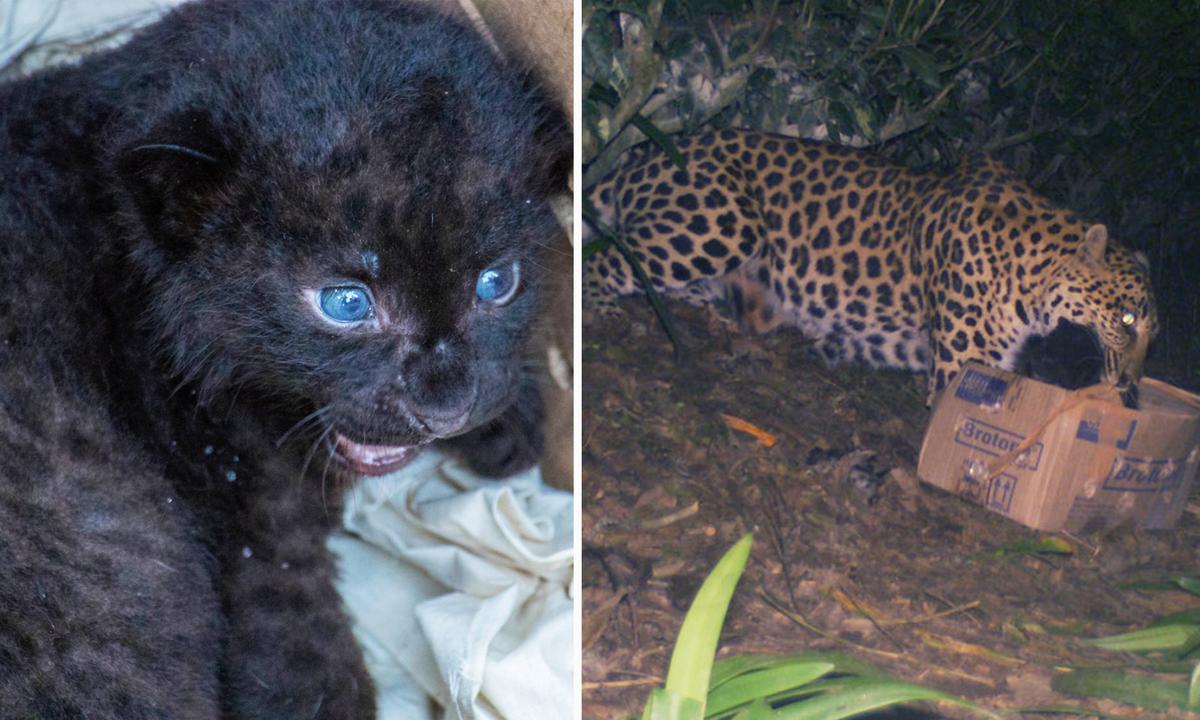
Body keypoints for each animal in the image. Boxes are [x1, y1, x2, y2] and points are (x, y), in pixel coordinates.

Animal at [584, 128, 1157, 404]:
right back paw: (604, 312)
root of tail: (640, 158)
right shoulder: (964, 365)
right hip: (725, 221)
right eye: (1126, 319)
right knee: (611, 256)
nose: (1131, 389)